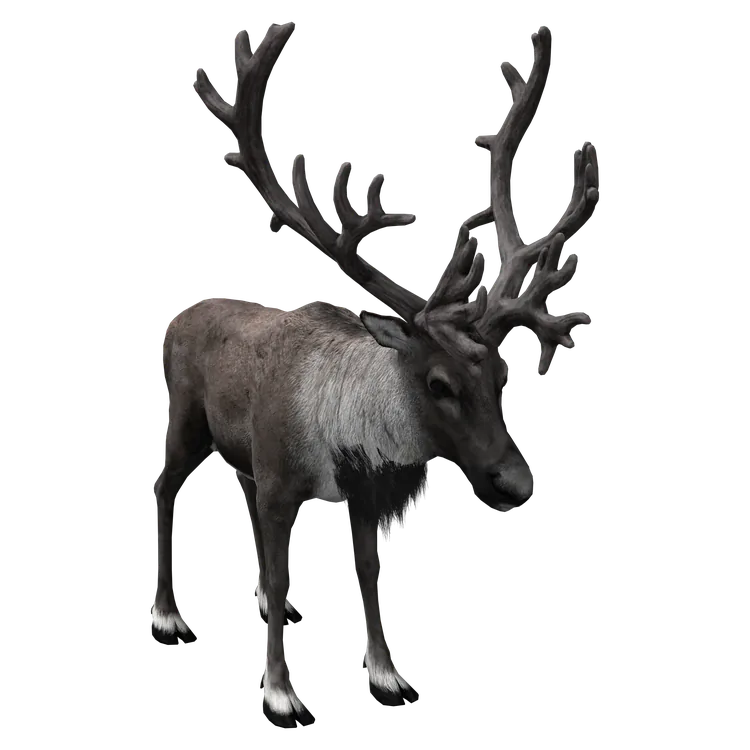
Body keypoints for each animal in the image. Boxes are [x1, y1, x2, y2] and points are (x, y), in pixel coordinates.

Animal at [153, 21, 600, 727]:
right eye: (438, 384)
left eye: (502, 379)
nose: (519, 481)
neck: (341, 444)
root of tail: (182, 315)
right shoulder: (284, 482)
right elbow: (287, 565)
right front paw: (280, 688)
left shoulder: (361, 493)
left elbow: (368, 572)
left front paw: (387, 672)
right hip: (187, 421)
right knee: (165, 487)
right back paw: (169, 609)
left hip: (241, 446)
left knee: (238, 491)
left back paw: (259, 598)